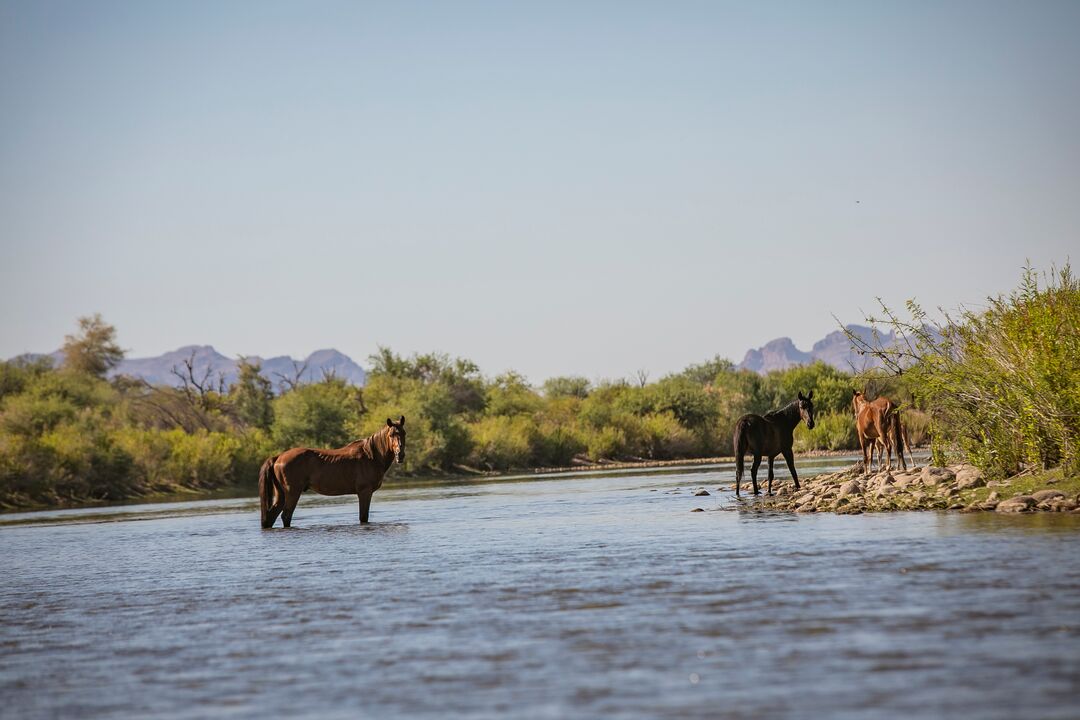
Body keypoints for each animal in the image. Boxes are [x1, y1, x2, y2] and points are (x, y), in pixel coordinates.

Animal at [259, 414, 406, 526]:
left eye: (404, 433)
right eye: (391, 434)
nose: (400, 455)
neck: (371, 455)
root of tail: (278, 457)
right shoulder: (365, 492)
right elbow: (363, 517)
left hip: (281, 494)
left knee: (271, 516)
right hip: (292, 493)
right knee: (286, 515)